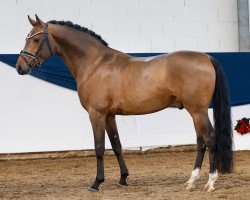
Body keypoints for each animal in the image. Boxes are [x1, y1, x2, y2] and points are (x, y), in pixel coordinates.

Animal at [16, 15, 233, 192]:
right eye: (28, 38)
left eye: (36, 39)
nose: (20, 67)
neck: (95, 64)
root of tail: (207, 57)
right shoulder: (109, 115)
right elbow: (116, 145)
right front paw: (123, 179)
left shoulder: (96, 114)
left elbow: (99, 147)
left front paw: (96, 183)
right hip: (194, 112)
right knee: (201, 142)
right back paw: (191, 181)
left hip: (198, 111)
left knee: (210, 139)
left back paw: (210, 182)